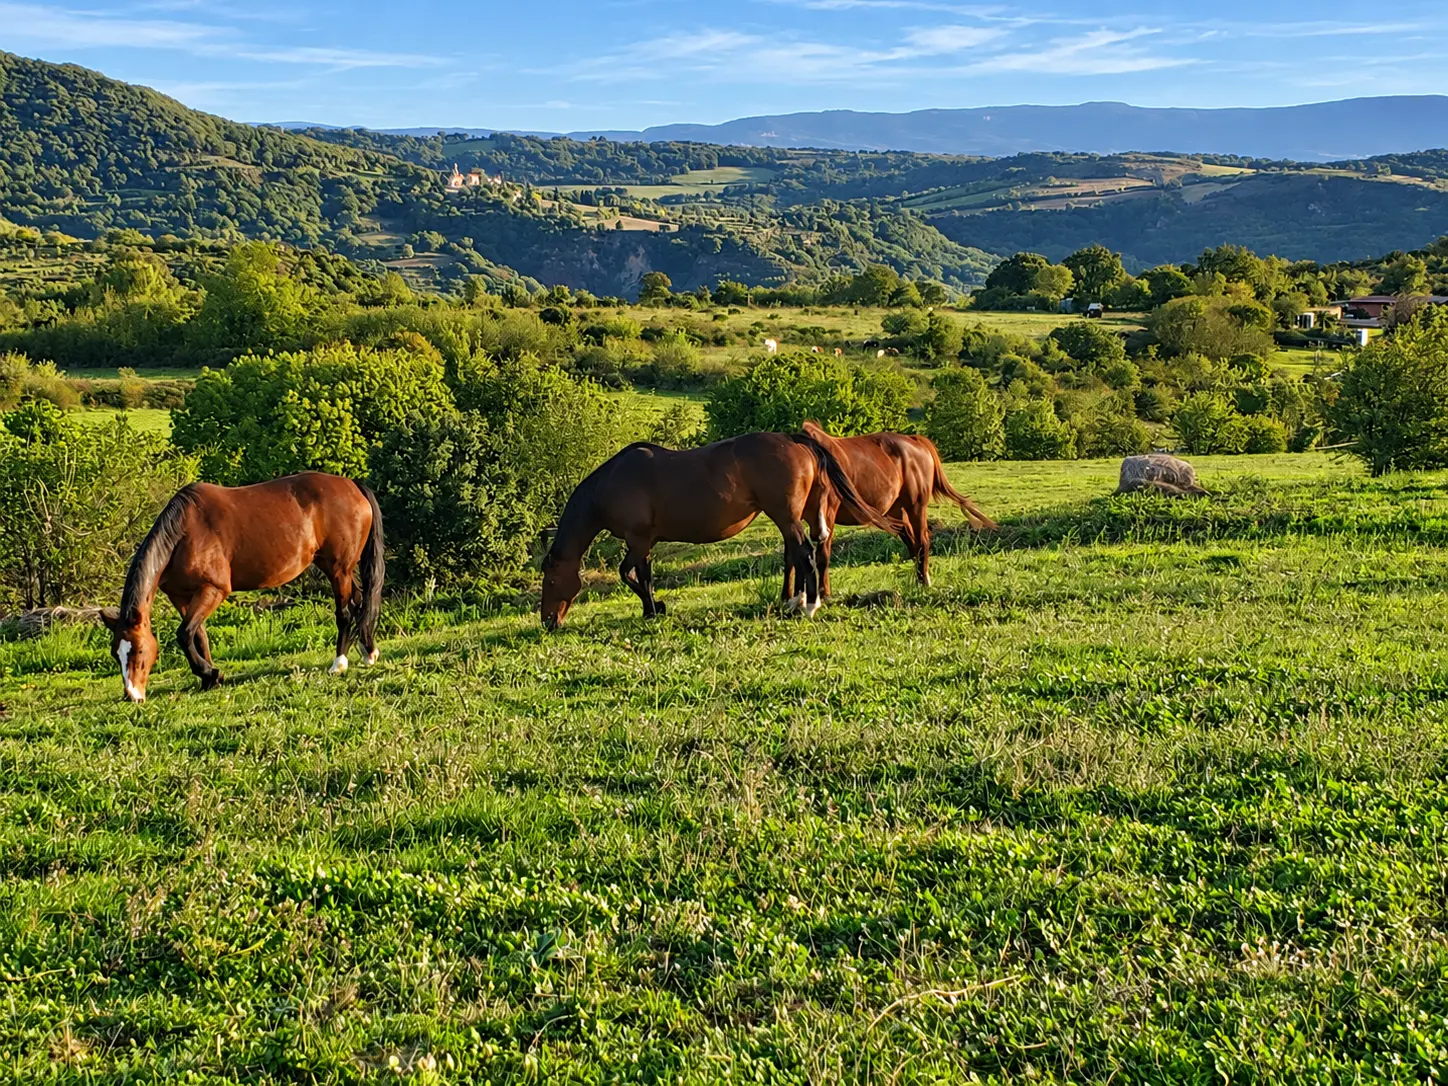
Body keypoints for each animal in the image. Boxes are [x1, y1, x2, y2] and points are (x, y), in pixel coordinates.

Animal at [99, 472, 384, 702]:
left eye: (139, 650)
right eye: (115, 653)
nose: (132, 695)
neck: (184, 533)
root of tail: (352, 486)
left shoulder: (213, 590)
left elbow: (184, 633)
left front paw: (209, 673)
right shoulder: (181, 596)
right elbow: (198, 635)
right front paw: (210, 679)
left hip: (339, 569)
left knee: (344, 612)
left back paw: (339, 664)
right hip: (332, 566)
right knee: (360, 602)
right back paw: (368, 652)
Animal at [539, 432, 899, 629]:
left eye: (552, 580)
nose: (548, 622)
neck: (612, 483)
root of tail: (792, 439)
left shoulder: (638, 539)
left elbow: (631, 574)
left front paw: (654, 609)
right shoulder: (645, 542)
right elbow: (640, 575)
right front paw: (653, 608)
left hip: (786, 517)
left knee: (805, 553)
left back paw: (809, 606)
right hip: (795, 517)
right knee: (797, 554)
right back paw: (794, 602)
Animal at [794, 420, 997, 595]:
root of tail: (917, 441)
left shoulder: (827, 514)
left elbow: (822, 556)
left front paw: (824, 595)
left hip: (916, 506)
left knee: (922, 541)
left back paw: (924, 583)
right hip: (896, 511)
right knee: (913, 543)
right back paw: (921, 581)